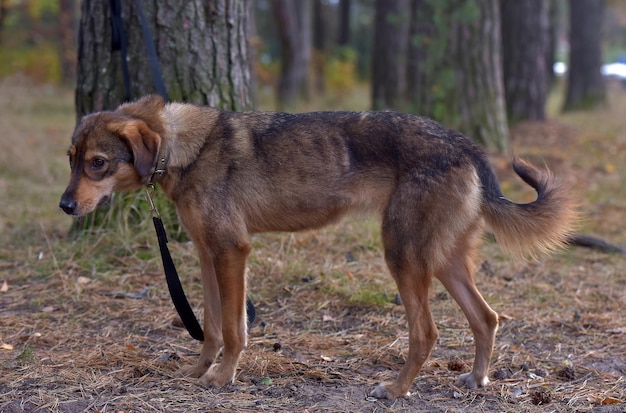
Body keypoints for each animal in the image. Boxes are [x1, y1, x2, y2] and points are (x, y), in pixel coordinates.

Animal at [58, 95, 576, 398]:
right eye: (72, 159)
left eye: (99, 163)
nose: (64, 205)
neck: (186, 146)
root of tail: (465, 145)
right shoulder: (207, 255)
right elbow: (210, 328)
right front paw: (198, 372)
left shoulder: (231, 252)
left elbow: (234, 330)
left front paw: (223, 379)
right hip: (443, 260)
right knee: (486, 318)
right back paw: (476, 380)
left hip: (403, 257)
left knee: (427, 333)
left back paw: (395, 390)